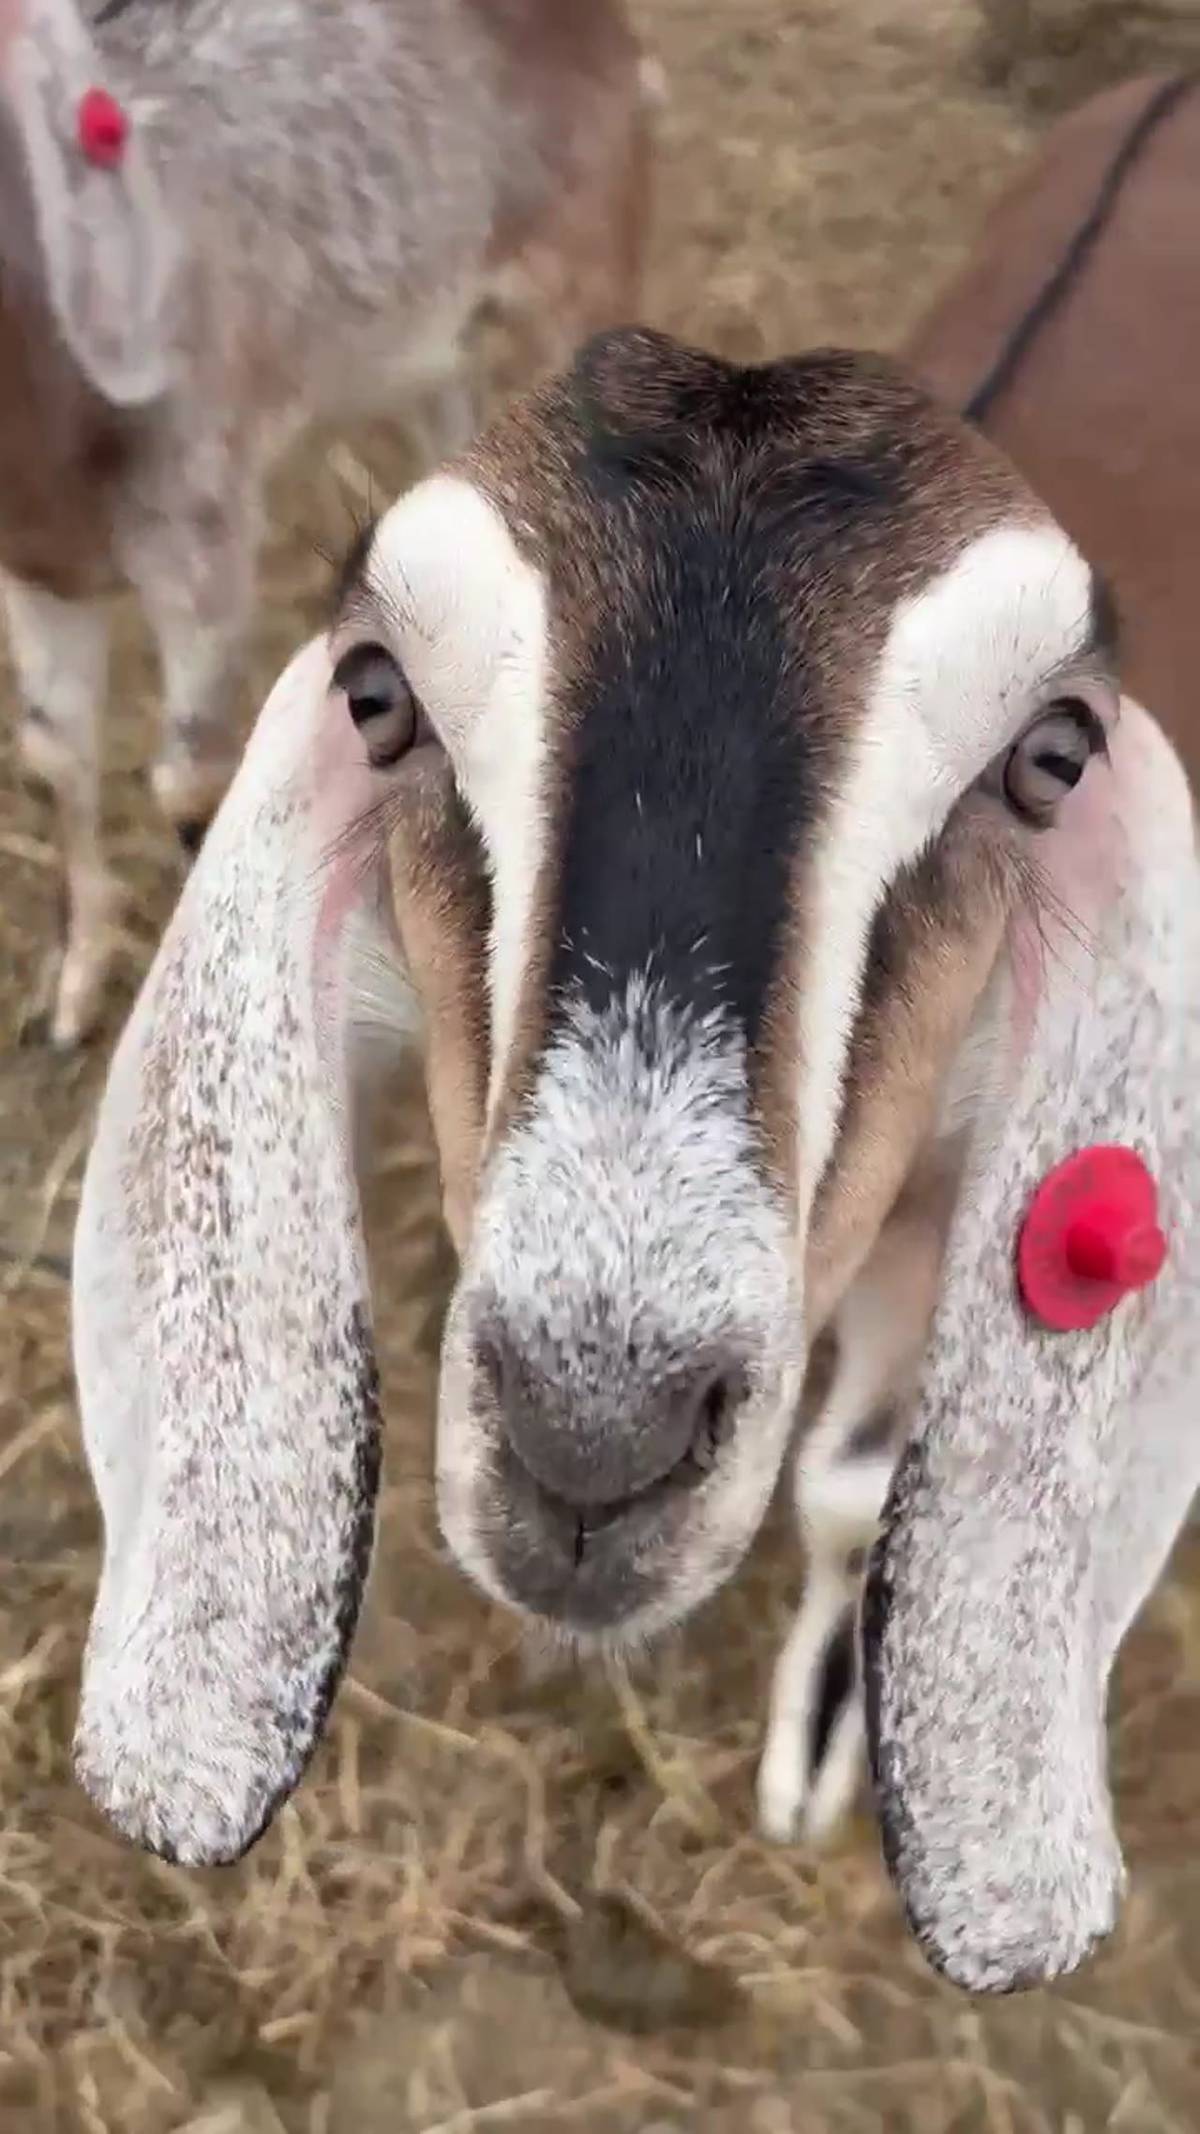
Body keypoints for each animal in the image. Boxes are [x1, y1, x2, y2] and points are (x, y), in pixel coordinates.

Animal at [0, 0, 650, 1046]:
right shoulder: (37, 574)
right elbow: (57, 755)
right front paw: (74, 986)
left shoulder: (204, 528)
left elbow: (188, 784)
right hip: (430, 344)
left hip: (587, 265)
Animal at [69, 318, 1199, 1997]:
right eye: (376, 694)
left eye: (1053, 756)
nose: (593, 1431)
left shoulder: (934, 1206)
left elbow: (853, 1486)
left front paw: (819, 1737)